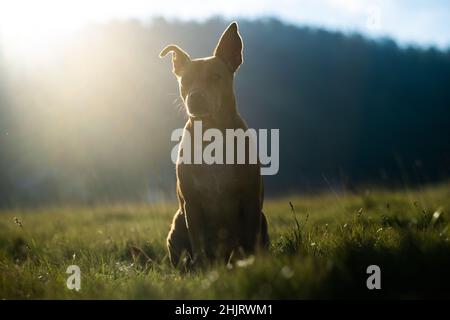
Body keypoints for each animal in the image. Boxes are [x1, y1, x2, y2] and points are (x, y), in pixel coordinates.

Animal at [161, 22, 268, 266]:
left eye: (216, 77)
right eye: (185, 81)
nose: (195, 97)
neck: (211, 137)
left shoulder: (250, 200)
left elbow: (251, 237)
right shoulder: (192, 205)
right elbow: (198, 242)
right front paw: (203, 269)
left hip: (263, 219)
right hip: (177, 222)